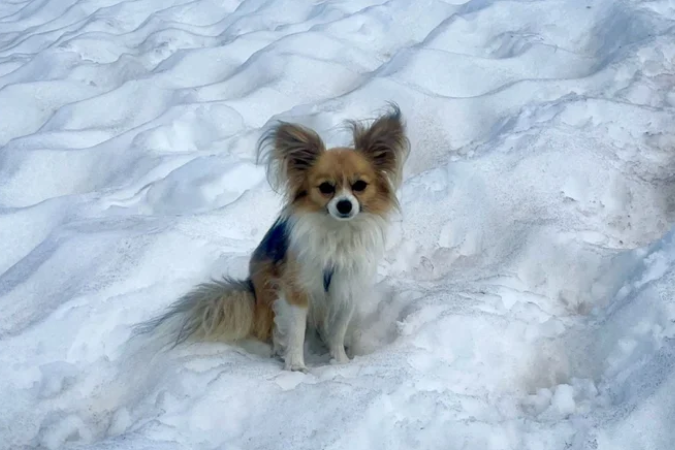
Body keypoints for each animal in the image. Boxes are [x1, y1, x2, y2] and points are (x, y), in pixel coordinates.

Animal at [137, 104, 409, 371]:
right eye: (326, 188)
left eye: (360, 185)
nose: (344, 205)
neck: (337, 233)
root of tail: (250, 290)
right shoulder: (297, 289)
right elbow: (296, 331)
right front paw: (296, 366)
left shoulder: (345, 288)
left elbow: (337, 332)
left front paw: (340, 362)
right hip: (268, 295)